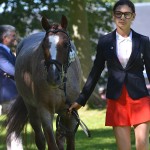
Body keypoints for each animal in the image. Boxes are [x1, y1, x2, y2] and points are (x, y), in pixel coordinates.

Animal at [6, 15, 82, 150]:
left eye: (66, 44)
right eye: (43, 45)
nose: (53, 77)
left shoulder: (70, 114)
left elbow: (69, 142)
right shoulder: (45, 112)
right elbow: (51, 143)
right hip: (32, 109)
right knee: (40, 139)